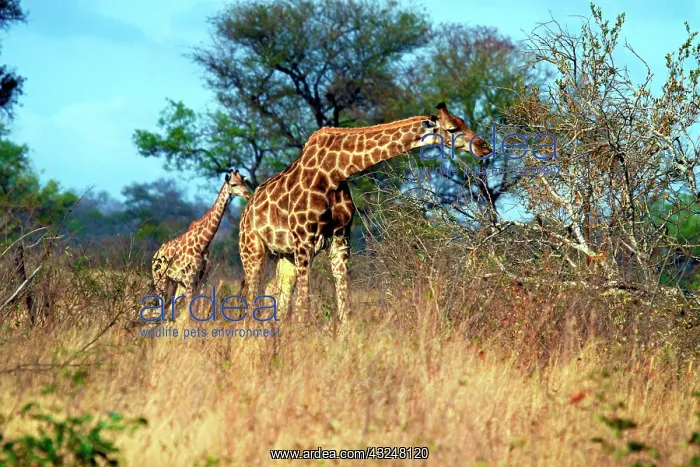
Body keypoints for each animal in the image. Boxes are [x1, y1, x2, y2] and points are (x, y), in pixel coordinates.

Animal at [152, 169, 251, 319]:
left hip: (174, 282)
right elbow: (190, 311)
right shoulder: (189, 280)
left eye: (243, 182)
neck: (203, 243)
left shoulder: (203, 280)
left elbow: (199, 309)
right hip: (160, 279)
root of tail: (154, 255)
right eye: (233, 184)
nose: (248, 194)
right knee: (160, 307)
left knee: (167, 308)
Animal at [239, 102, 491, 326]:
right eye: (452, 129)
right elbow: (304, 306)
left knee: (278, 299)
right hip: (252, 251)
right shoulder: (304, 240)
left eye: (464, 122)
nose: (484, 146)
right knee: (252, 297)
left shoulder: (340, 238)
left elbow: (345, 307)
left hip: (285, 256)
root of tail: (247, 211)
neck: (335, 172)